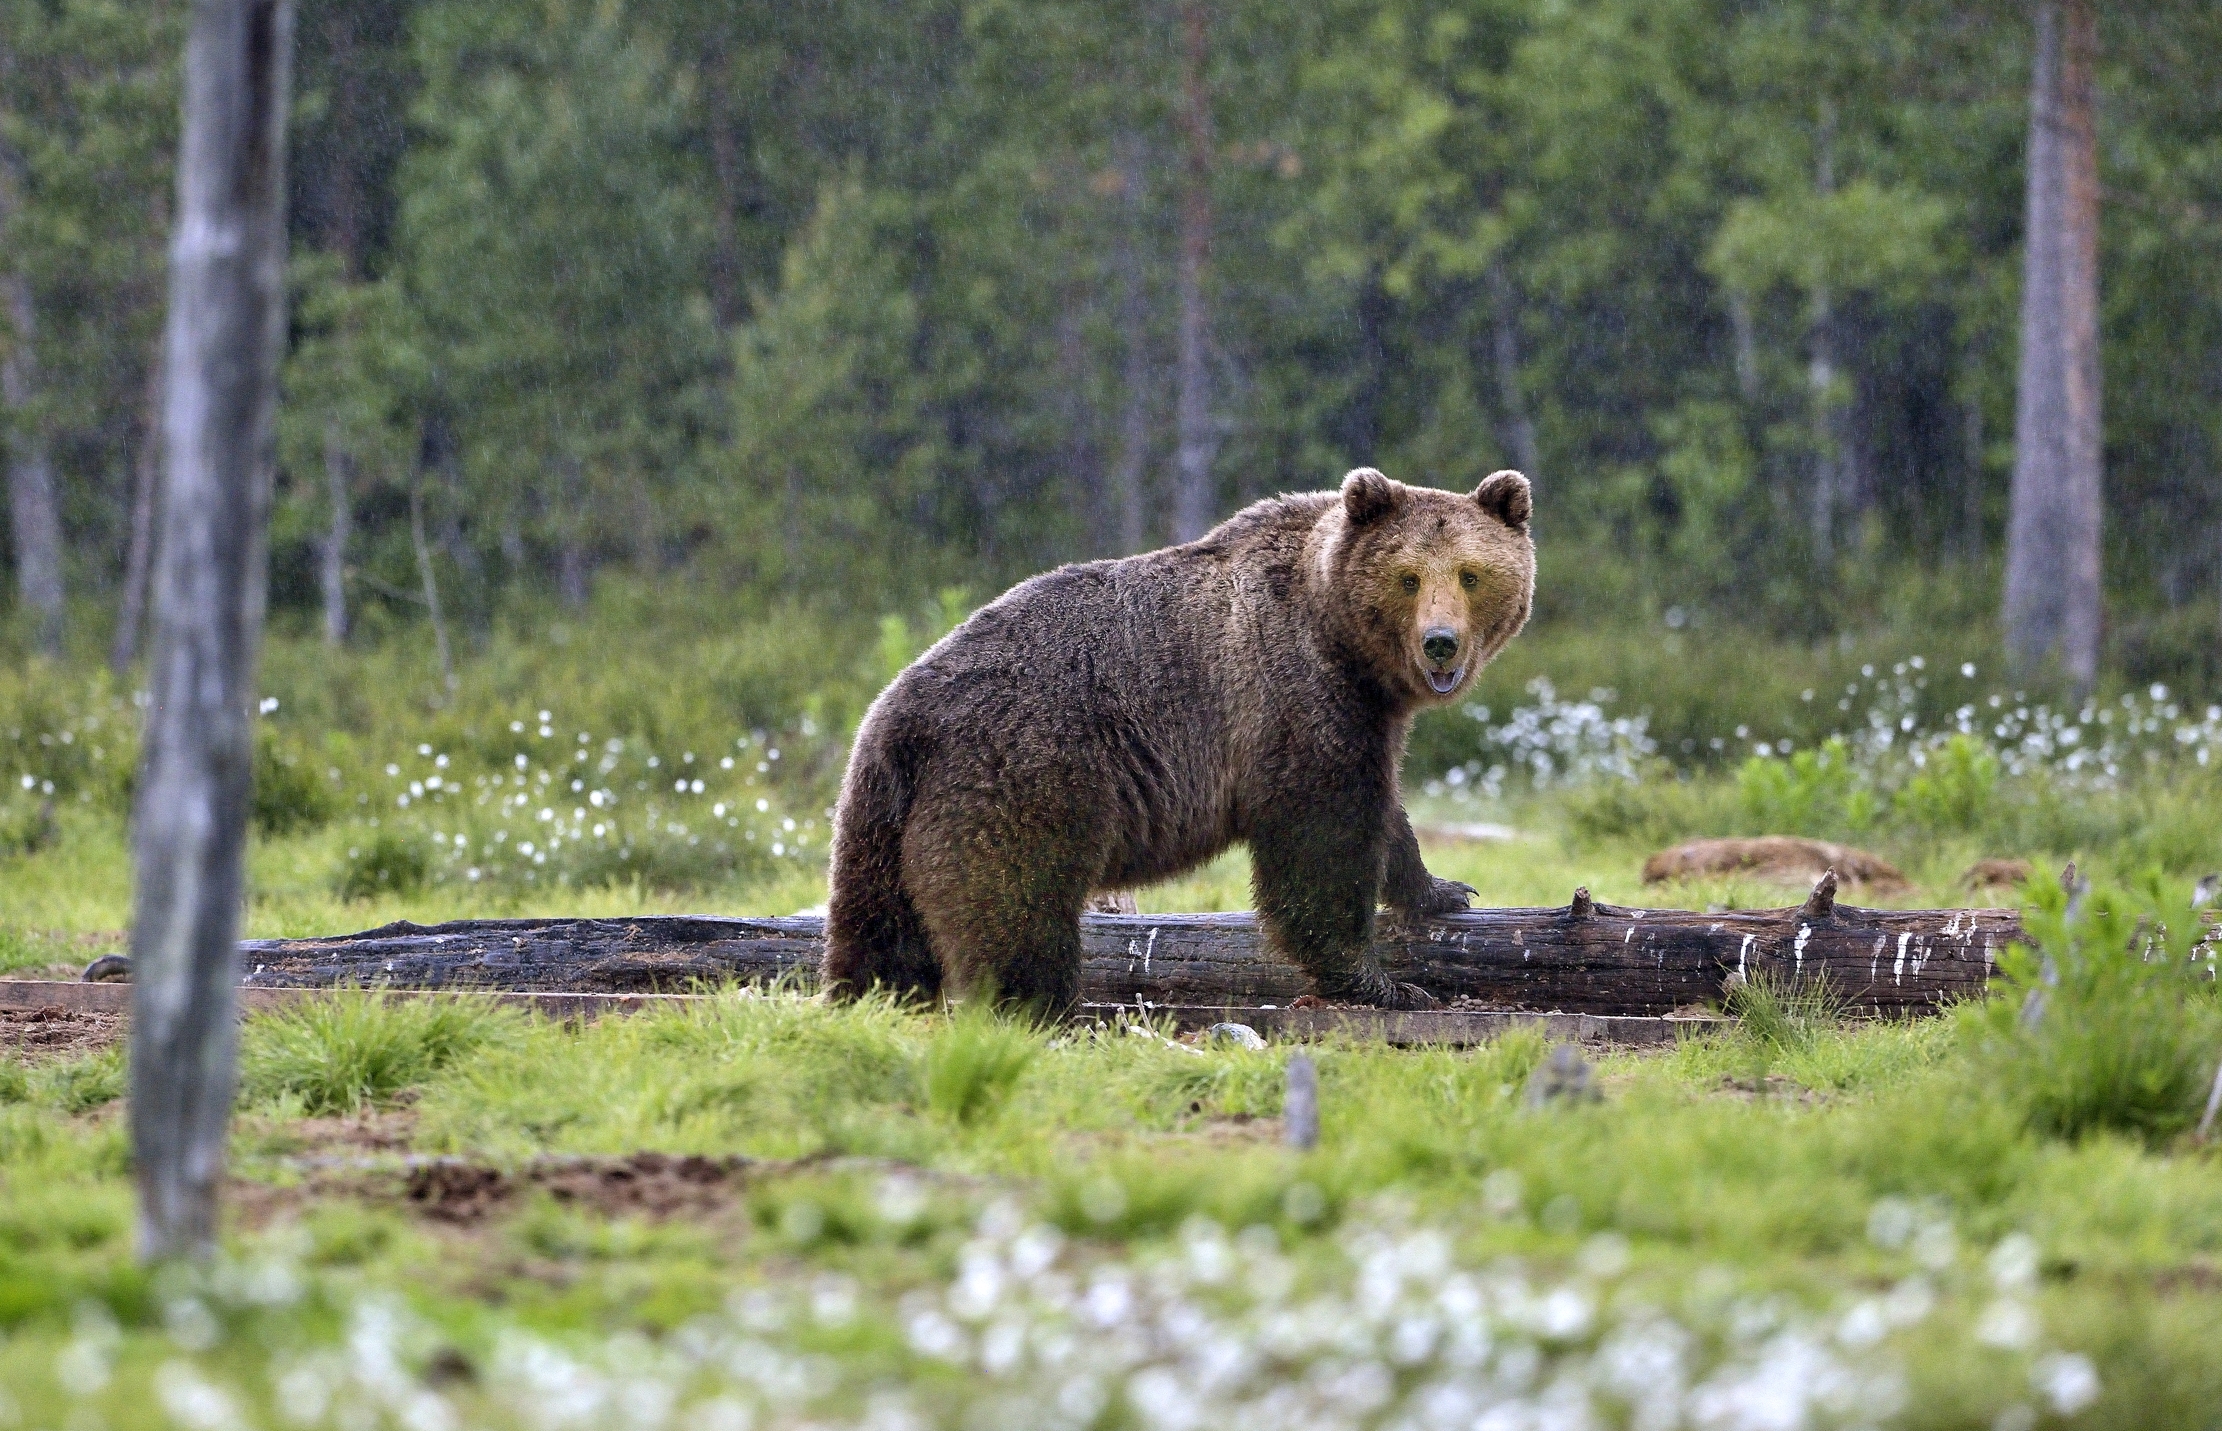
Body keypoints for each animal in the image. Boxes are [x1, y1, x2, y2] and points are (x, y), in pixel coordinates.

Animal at [823, 466, 1535, 1013]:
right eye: (1408, 577)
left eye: (1470, 574)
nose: (1440, 642)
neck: (1346, 648)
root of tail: (897, 717)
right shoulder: (1294, 698)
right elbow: (1321, 841)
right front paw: (1381, 983)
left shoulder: (1362, 717)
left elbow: (1383, 814)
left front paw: (1443, 889)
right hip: (1022, 776)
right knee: (1014, 907)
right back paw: (1036, 1009)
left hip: (880, 817)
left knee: (880, 923)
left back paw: (872, 996)